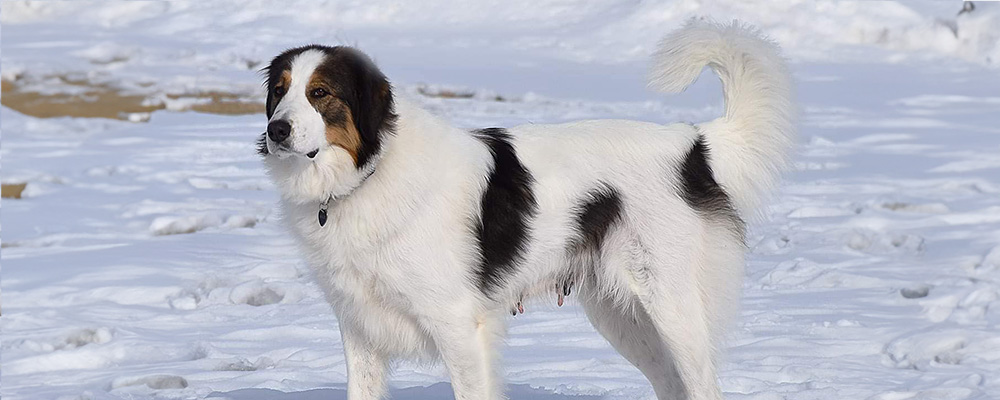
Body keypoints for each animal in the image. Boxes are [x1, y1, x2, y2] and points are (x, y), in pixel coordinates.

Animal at [258, 21, 796, 400]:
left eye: (319, 93)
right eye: (279, 91)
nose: (275, 130)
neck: (370, 172)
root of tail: (693, 143)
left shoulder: (459, 328)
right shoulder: (359, 329)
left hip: (672, 308)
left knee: (702, 386)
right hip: (624, 318)